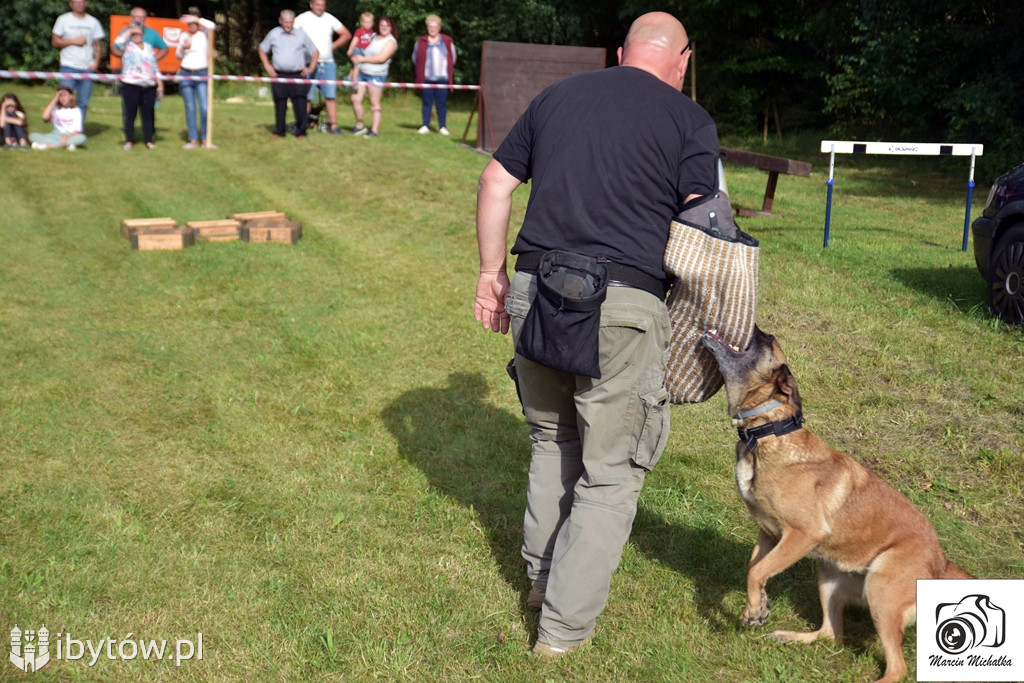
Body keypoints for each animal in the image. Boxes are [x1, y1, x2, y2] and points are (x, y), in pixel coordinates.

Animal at [700, 325, 970, 683]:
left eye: (768, 343)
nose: (760, 328)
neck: (768, 434)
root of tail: (941, 561)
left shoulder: (802, 534)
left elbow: (756, 571)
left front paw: (756, 608)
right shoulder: (769, 534)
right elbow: (754, 569)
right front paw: (756, 609)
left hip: (879, 589)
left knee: (896, 668)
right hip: (827, 577)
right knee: (831, 634)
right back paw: (788, 636)